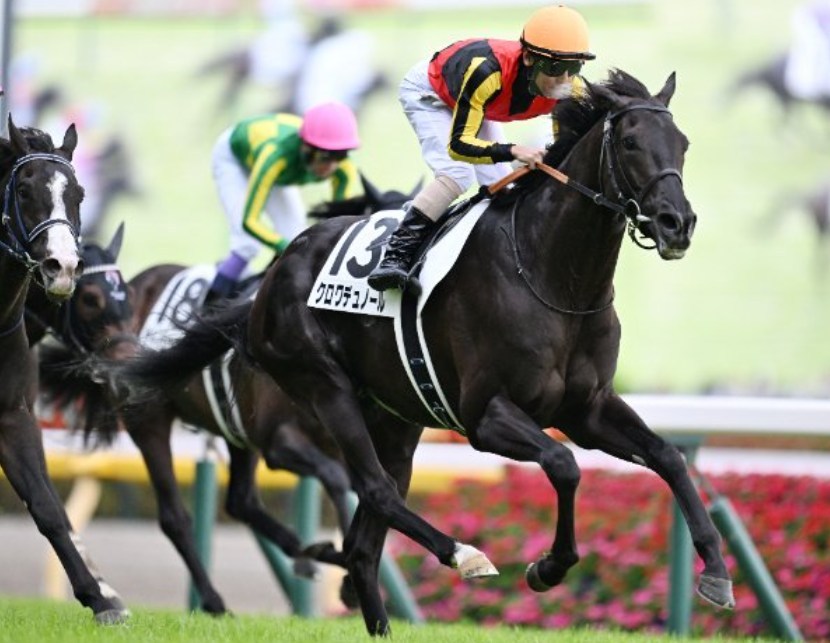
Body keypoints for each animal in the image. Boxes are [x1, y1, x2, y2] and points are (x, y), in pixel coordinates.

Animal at [0, 116, 127, 624]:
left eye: (78, 193)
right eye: (25, 188)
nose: (62, 266)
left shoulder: (14, 414)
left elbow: (48, 506)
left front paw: (102, 596)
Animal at [46, 178, 418, 615]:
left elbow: (364, 486)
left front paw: (344, 572)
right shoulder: (279, 440)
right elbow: (337, 478)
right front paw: (346, 575)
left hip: (235, 432)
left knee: (241, 502)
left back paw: (304, 553)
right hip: (148, 419)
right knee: (175, 516)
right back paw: (214, 598)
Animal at [121, 69, 735, 636]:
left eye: (682, 143)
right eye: (629, 142)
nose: (677, 223)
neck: (555, 278)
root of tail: (272, 277)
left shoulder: (587, 409)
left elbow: (668, 457)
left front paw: (716, 573)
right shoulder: (486, 416)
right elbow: (563, 465)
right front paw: (547, 567)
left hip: (394, 419)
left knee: (366, 539)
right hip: (319, 386)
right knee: (371, 490)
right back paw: (461, 553)